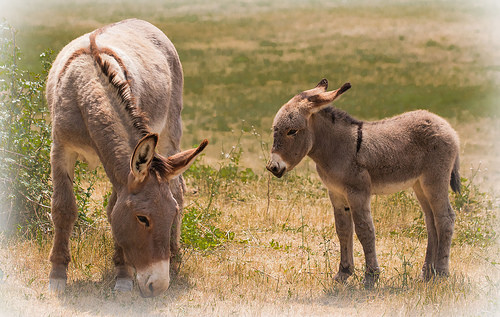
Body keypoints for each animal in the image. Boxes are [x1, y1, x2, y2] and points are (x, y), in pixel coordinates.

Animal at [266, 79, 460, 286]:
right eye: (274, 130)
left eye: (292, 131)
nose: (273, 167)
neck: (335, 148)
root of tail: (445, 125)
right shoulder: (336, 193)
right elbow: (343, 230)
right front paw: (343, 273)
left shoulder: (357, 193)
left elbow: (364, 230)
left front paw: (371, 276)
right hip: (420, 185)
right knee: (431, 221)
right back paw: (427, 273)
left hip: (435, 180)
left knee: (445, 218)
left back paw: (441, 273)